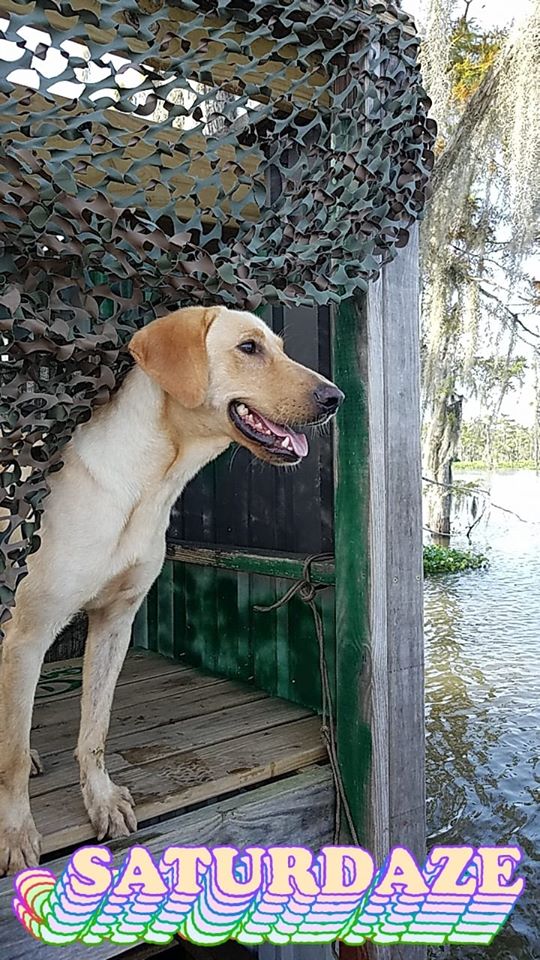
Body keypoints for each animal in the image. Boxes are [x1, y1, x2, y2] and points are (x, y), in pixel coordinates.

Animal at [0, 308, 344, 876]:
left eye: (280, 346)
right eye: (248, 348)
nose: (335, 397)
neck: (147, 482)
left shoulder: (116, 621)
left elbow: (95, 730)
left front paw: (101, 799)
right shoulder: (29, 633)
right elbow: (9, 758)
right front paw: (14, 833)